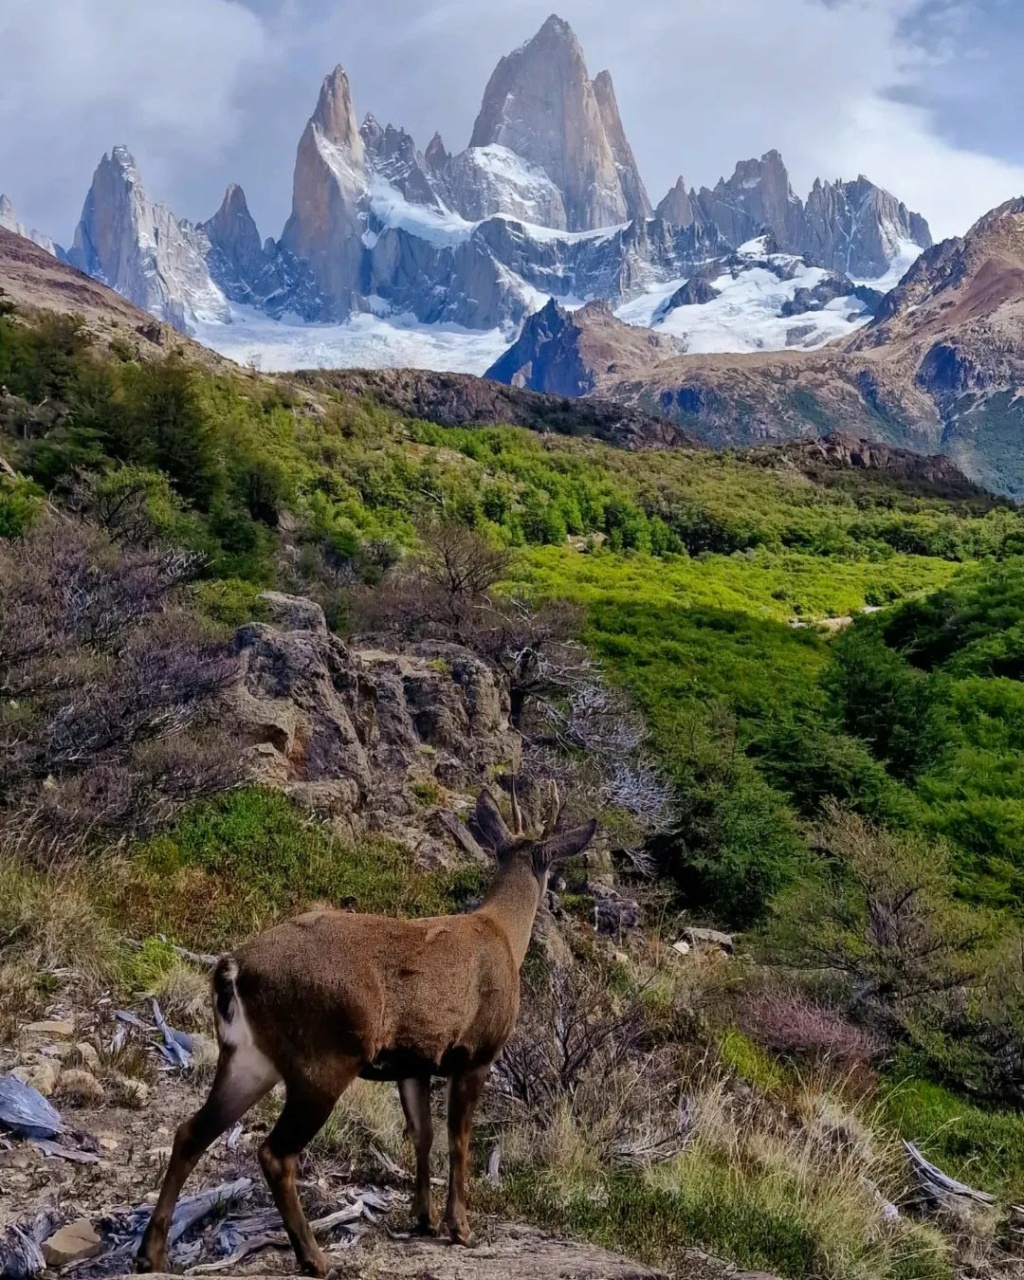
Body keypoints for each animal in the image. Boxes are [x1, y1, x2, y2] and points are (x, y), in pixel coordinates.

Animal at [136, 783, 599, 1274]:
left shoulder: (414, 1063)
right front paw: (460, 1228)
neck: (504, 934)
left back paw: (152, 1254)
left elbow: (422, 1134)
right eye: (553, 869)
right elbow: (458, 1140)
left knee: (191, 1131)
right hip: (325, 1056)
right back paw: (314, 1258)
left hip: (248, 1057)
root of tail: (233, 968)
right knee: (275, 1153)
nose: (558, 898)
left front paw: (423, 1219)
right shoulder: (476, 1052)